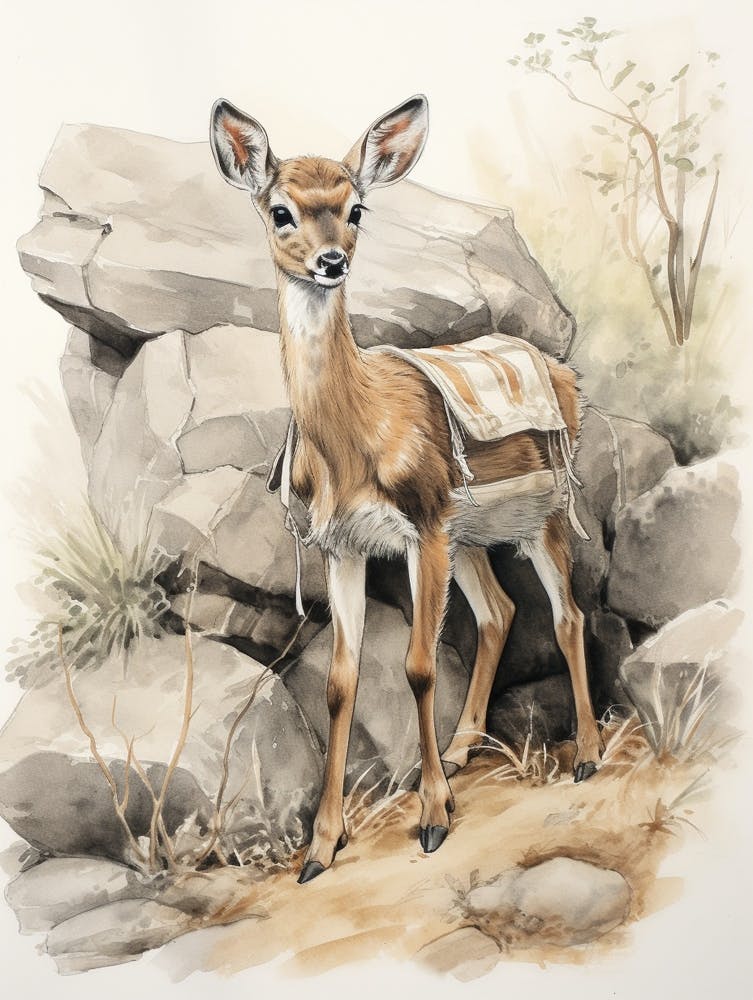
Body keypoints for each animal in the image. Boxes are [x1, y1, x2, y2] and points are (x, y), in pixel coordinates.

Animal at [210, 94, 603, 884]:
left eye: (355, 208)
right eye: (280, 210)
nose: (331, 260)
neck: (356, 438)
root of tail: (565, 374)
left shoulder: (421, 524)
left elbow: (418, 666)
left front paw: (431, 819)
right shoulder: (345, 547)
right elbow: (341, 681)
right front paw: (320, 847)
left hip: (539, 514)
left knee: (568, 614)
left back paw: (586, 755)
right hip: (471, 532)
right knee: (500, 611)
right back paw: (461, 747)